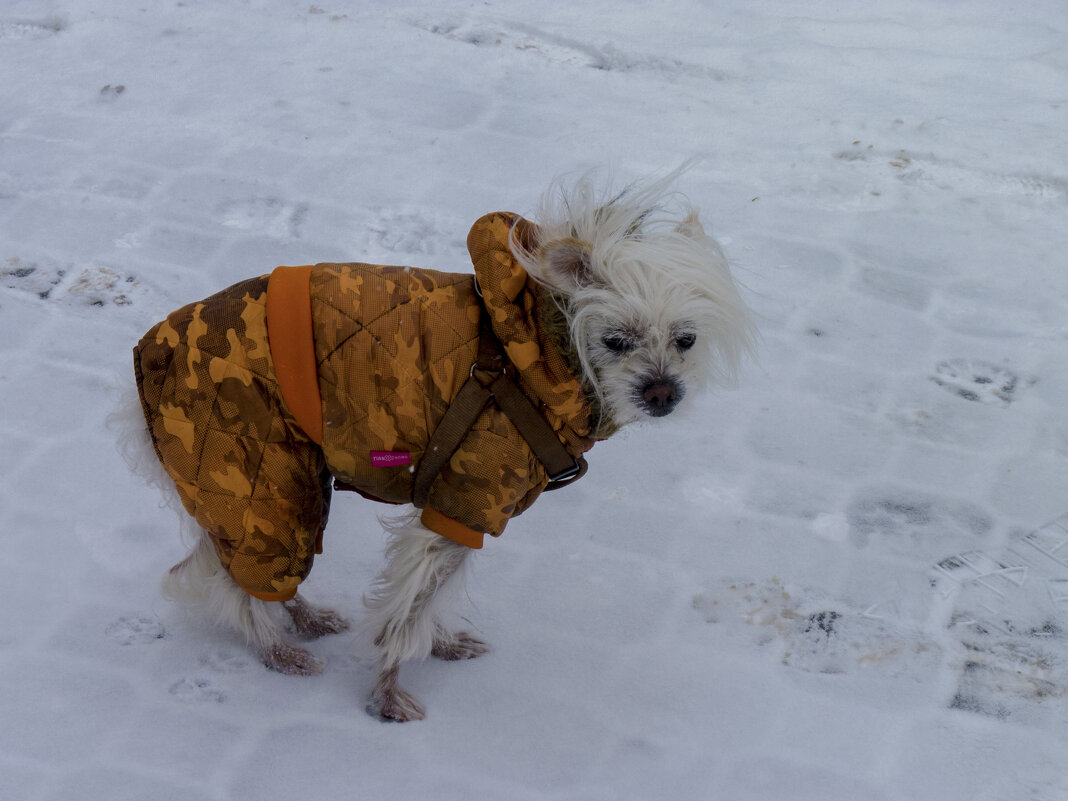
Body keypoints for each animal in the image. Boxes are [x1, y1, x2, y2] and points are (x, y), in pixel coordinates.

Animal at [124, 169, 751, 721]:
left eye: (686, 339)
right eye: (616, 340)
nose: (663, 393)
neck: (539, 354)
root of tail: (149, 350)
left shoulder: (466, 515)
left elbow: (425, 602)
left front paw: (440, 646)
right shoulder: (460, 506)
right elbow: (408, 614)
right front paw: (386, 693)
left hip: (282, 485)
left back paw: (305, 619)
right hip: (256, 475)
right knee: (240, 583)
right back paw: (278, 651)